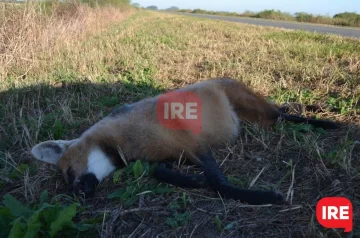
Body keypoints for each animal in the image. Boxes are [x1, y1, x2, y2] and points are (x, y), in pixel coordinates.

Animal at [30, 78, 338, 205]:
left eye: (69, 173)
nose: (78, 196)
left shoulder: (195, 144)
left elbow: (219, 184)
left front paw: (259, 197)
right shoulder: (164, 157)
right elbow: (162, 172)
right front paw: (193, 181)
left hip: (253, 108)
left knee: (282, 115)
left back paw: (326, 123)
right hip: (257, 120)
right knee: (280, 116)